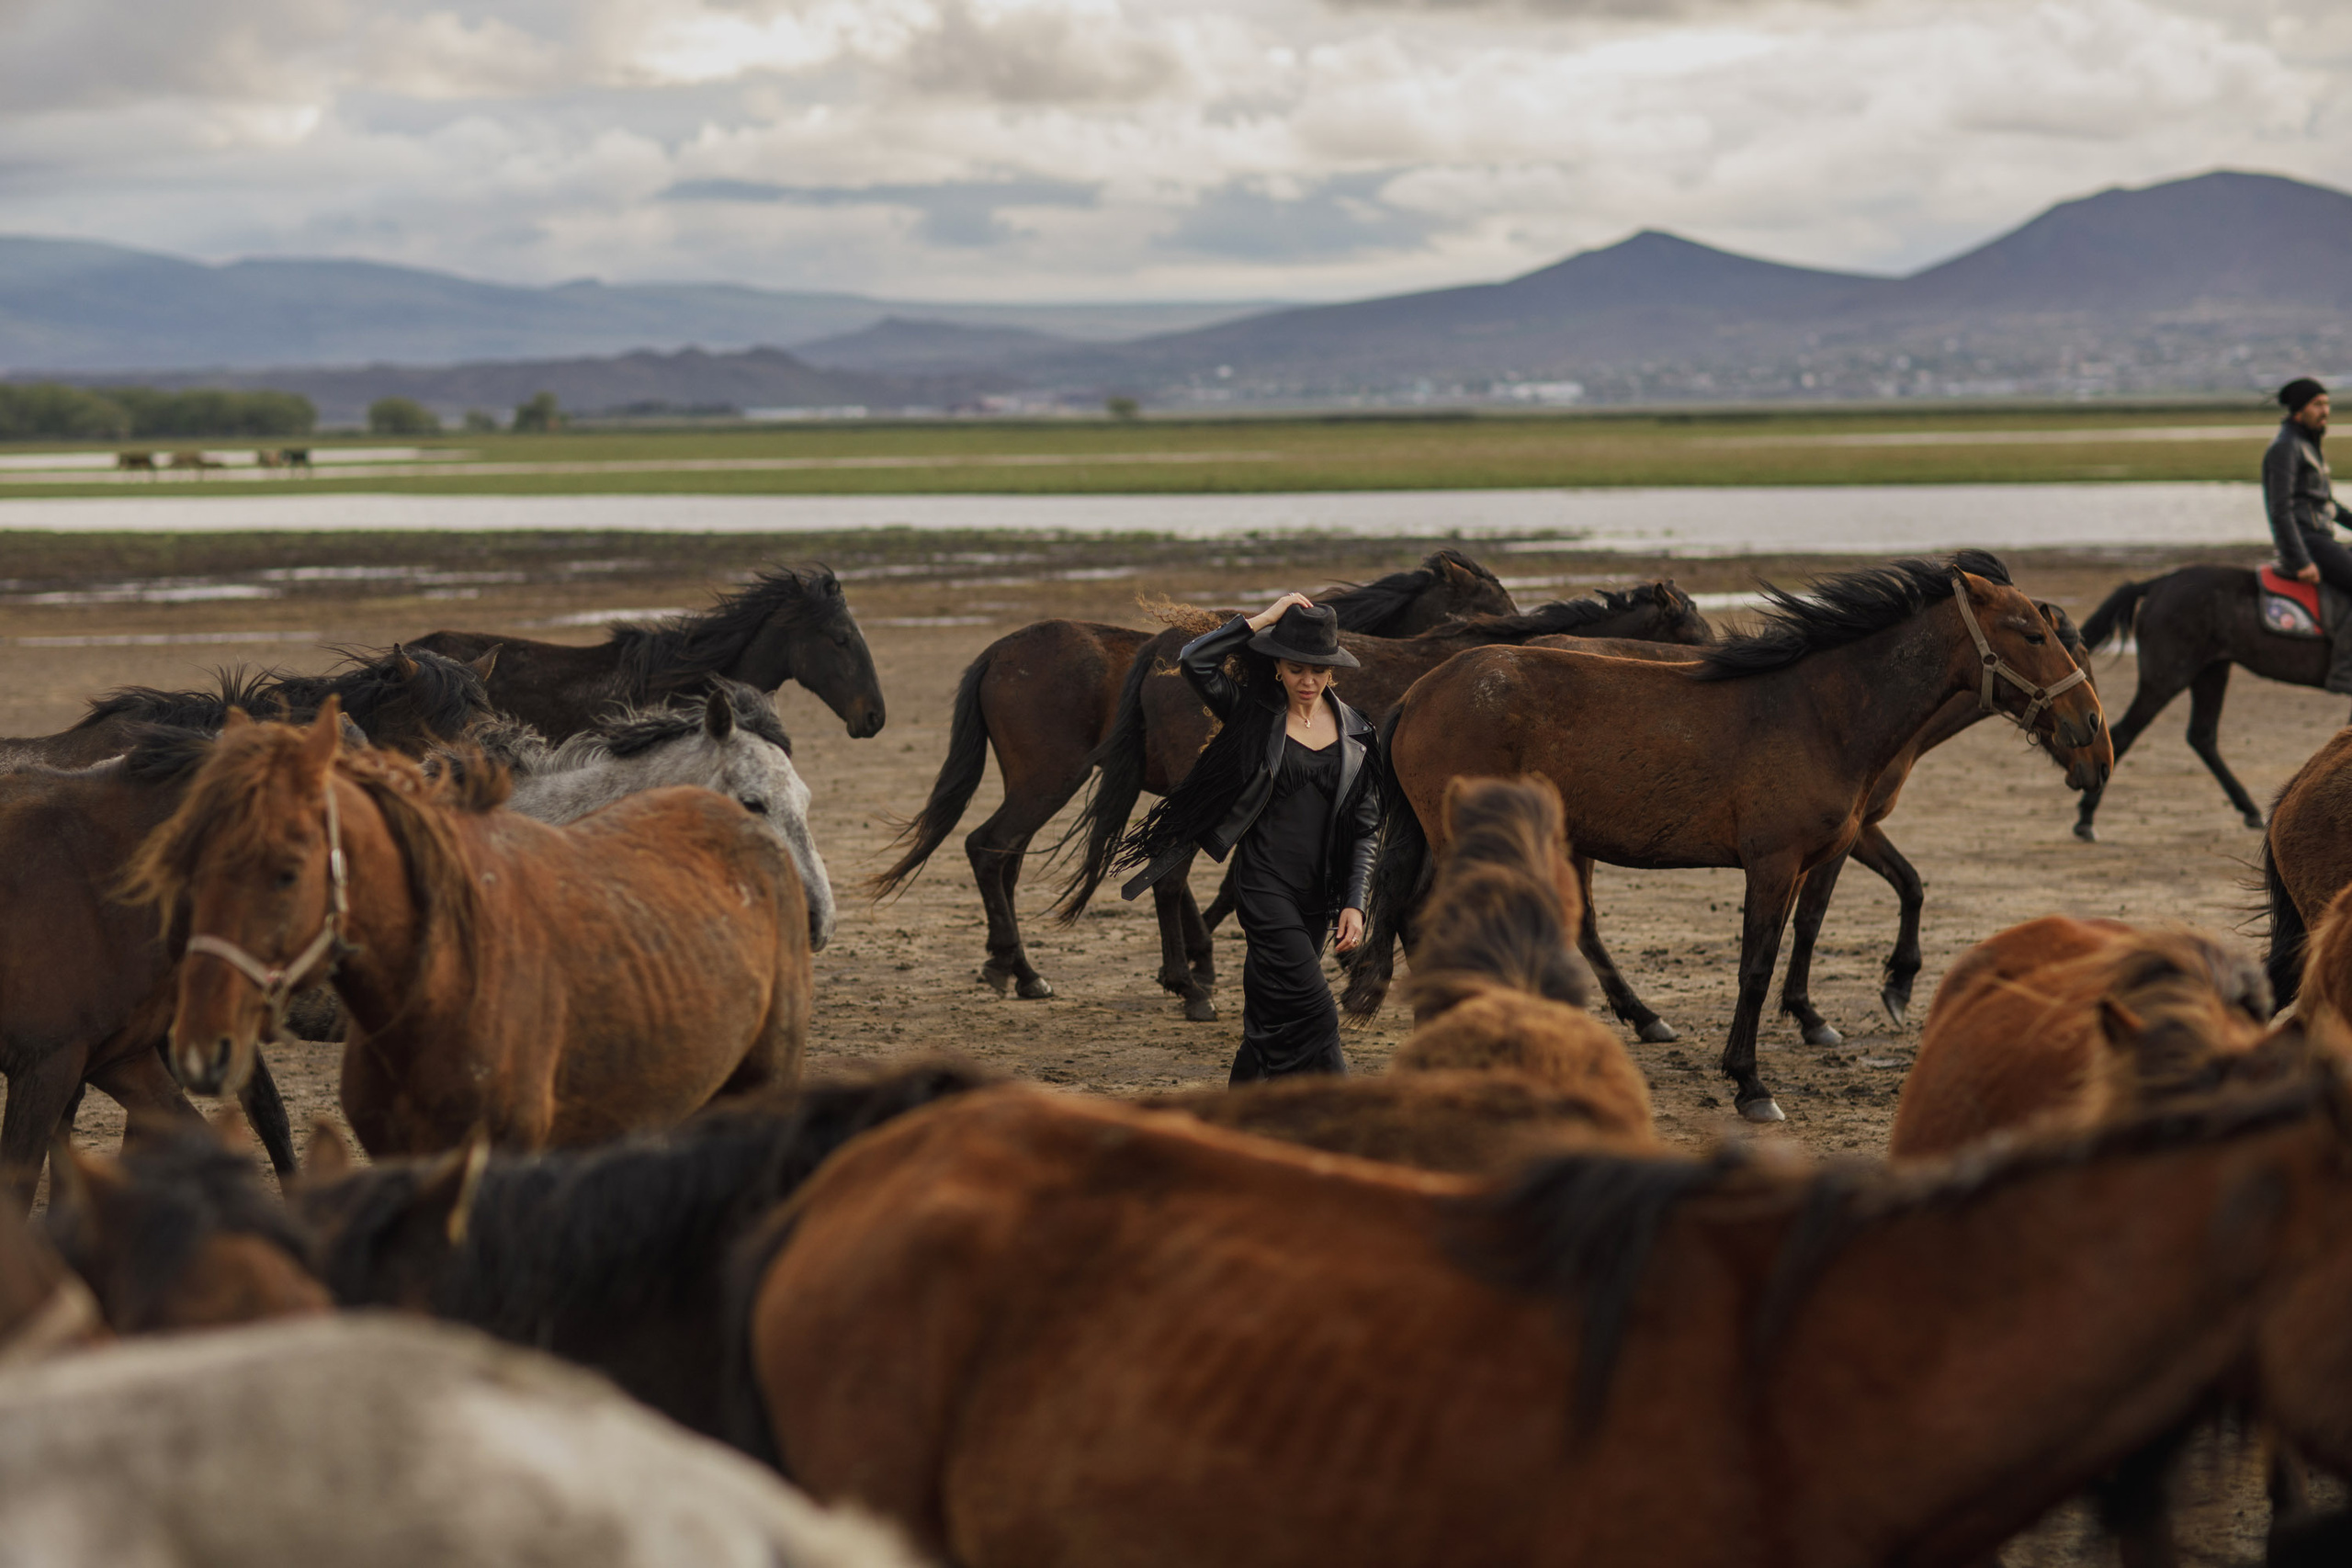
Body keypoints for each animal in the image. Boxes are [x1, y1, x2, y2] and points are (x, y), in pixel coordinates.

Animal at [868, 549, 1520, 1005]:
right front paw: (1201, 966)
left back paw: (1010, 967)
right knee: (992, 848)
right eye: (1488, 603)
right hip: (1047, 781)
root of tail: (998, 652)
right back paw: (1039, 973)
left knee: (1004, 857)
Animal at [1350, 552, 2110, 1122]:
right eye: (2031, 633)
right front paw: (1751, 1083)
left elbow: (1803, 935)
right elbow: (1757, 965)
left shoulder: (1809, 860)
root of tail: (1419, 692)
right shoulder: (1772, 863)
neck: (1820, 712)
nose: (2093, 733)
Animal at [2070, 564, 2339, 842]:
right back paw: (2086, 818)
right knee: (2123, 734)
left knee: (2202, 736)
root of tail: (2160, 583)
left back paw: (2250, 810)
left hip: (2211, 672)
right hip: (2166, 678)